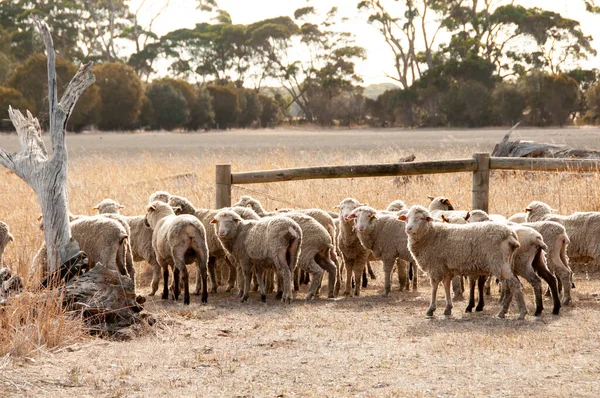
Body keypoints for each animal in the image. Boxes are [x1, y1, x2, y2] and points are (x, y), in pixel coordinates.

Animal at [400, 207, 528, 318]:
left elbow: (434, 287)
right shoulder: (446, 269)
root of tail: (511, 235)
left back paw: (521, 313)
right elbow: (446, 285)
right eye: (406, 218)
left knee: (513, 284)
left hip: (498, 262)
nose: (408, 229)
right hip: (507, 263)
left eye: (420, 218)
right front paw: (448, 308)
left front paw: (431, 309)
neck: (430, 235)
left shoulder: (435, 266)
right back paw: (504, 311)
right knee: (510, 285)